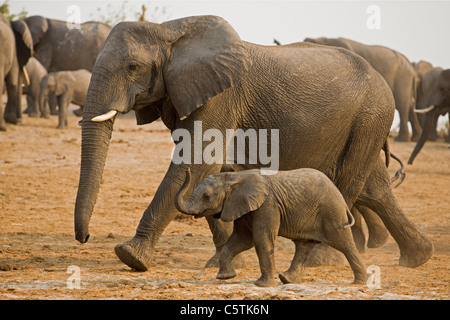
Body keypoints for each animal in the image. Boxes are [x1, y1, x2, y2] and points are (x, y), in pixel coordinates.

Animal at [74, 15, 432, 272]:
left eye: (132, 67)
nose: (85, 237)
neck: (170, 30)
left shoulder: (220, 97)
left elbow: (196, 162)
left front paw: (130, 256)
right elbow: (206, 171)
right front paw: (222, 263)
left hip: (370, 117)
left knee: (348, 181)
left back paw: (322, 260)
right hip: (365, 125)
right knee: (374, 186)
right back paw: (418, 257)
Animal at [174, 168, 368, 288]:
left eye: (206, 196)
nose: (187, 170)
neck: (235, 177)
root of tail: (340, 196)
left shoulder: (267, 205)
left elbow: (261, 239)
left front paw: (261, 285)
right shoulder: (242, 206)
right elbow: (242, 240)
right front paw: (225, 277)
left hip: (332, 212)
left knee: (344, 243)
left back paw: (359, 283)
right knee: (303, 246)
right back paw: (287, 280)